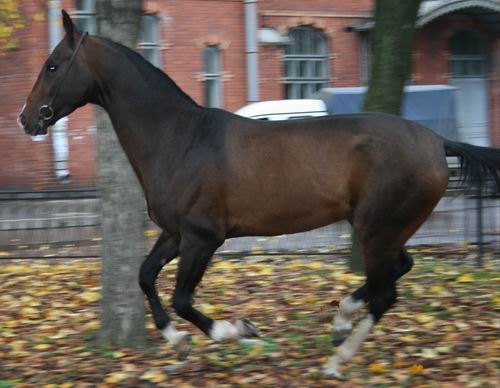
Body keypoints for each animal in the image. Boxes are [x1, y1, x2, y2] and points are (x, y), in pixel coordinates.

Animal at [17, 10, 498, 378]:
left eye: (53, 64)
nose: (26, 118)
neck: (180, 139)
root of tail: (436, 142)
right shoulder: (175, 234)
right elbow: (145, 276)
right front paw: (178, 343)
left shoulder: (203, 238)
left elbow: (182, 298)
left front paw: (240, 332)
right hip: (386, 229)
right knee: (397, 272)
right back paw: (341, 322)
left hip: (376, 228)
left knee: (386, 291)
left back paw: (337, 355)